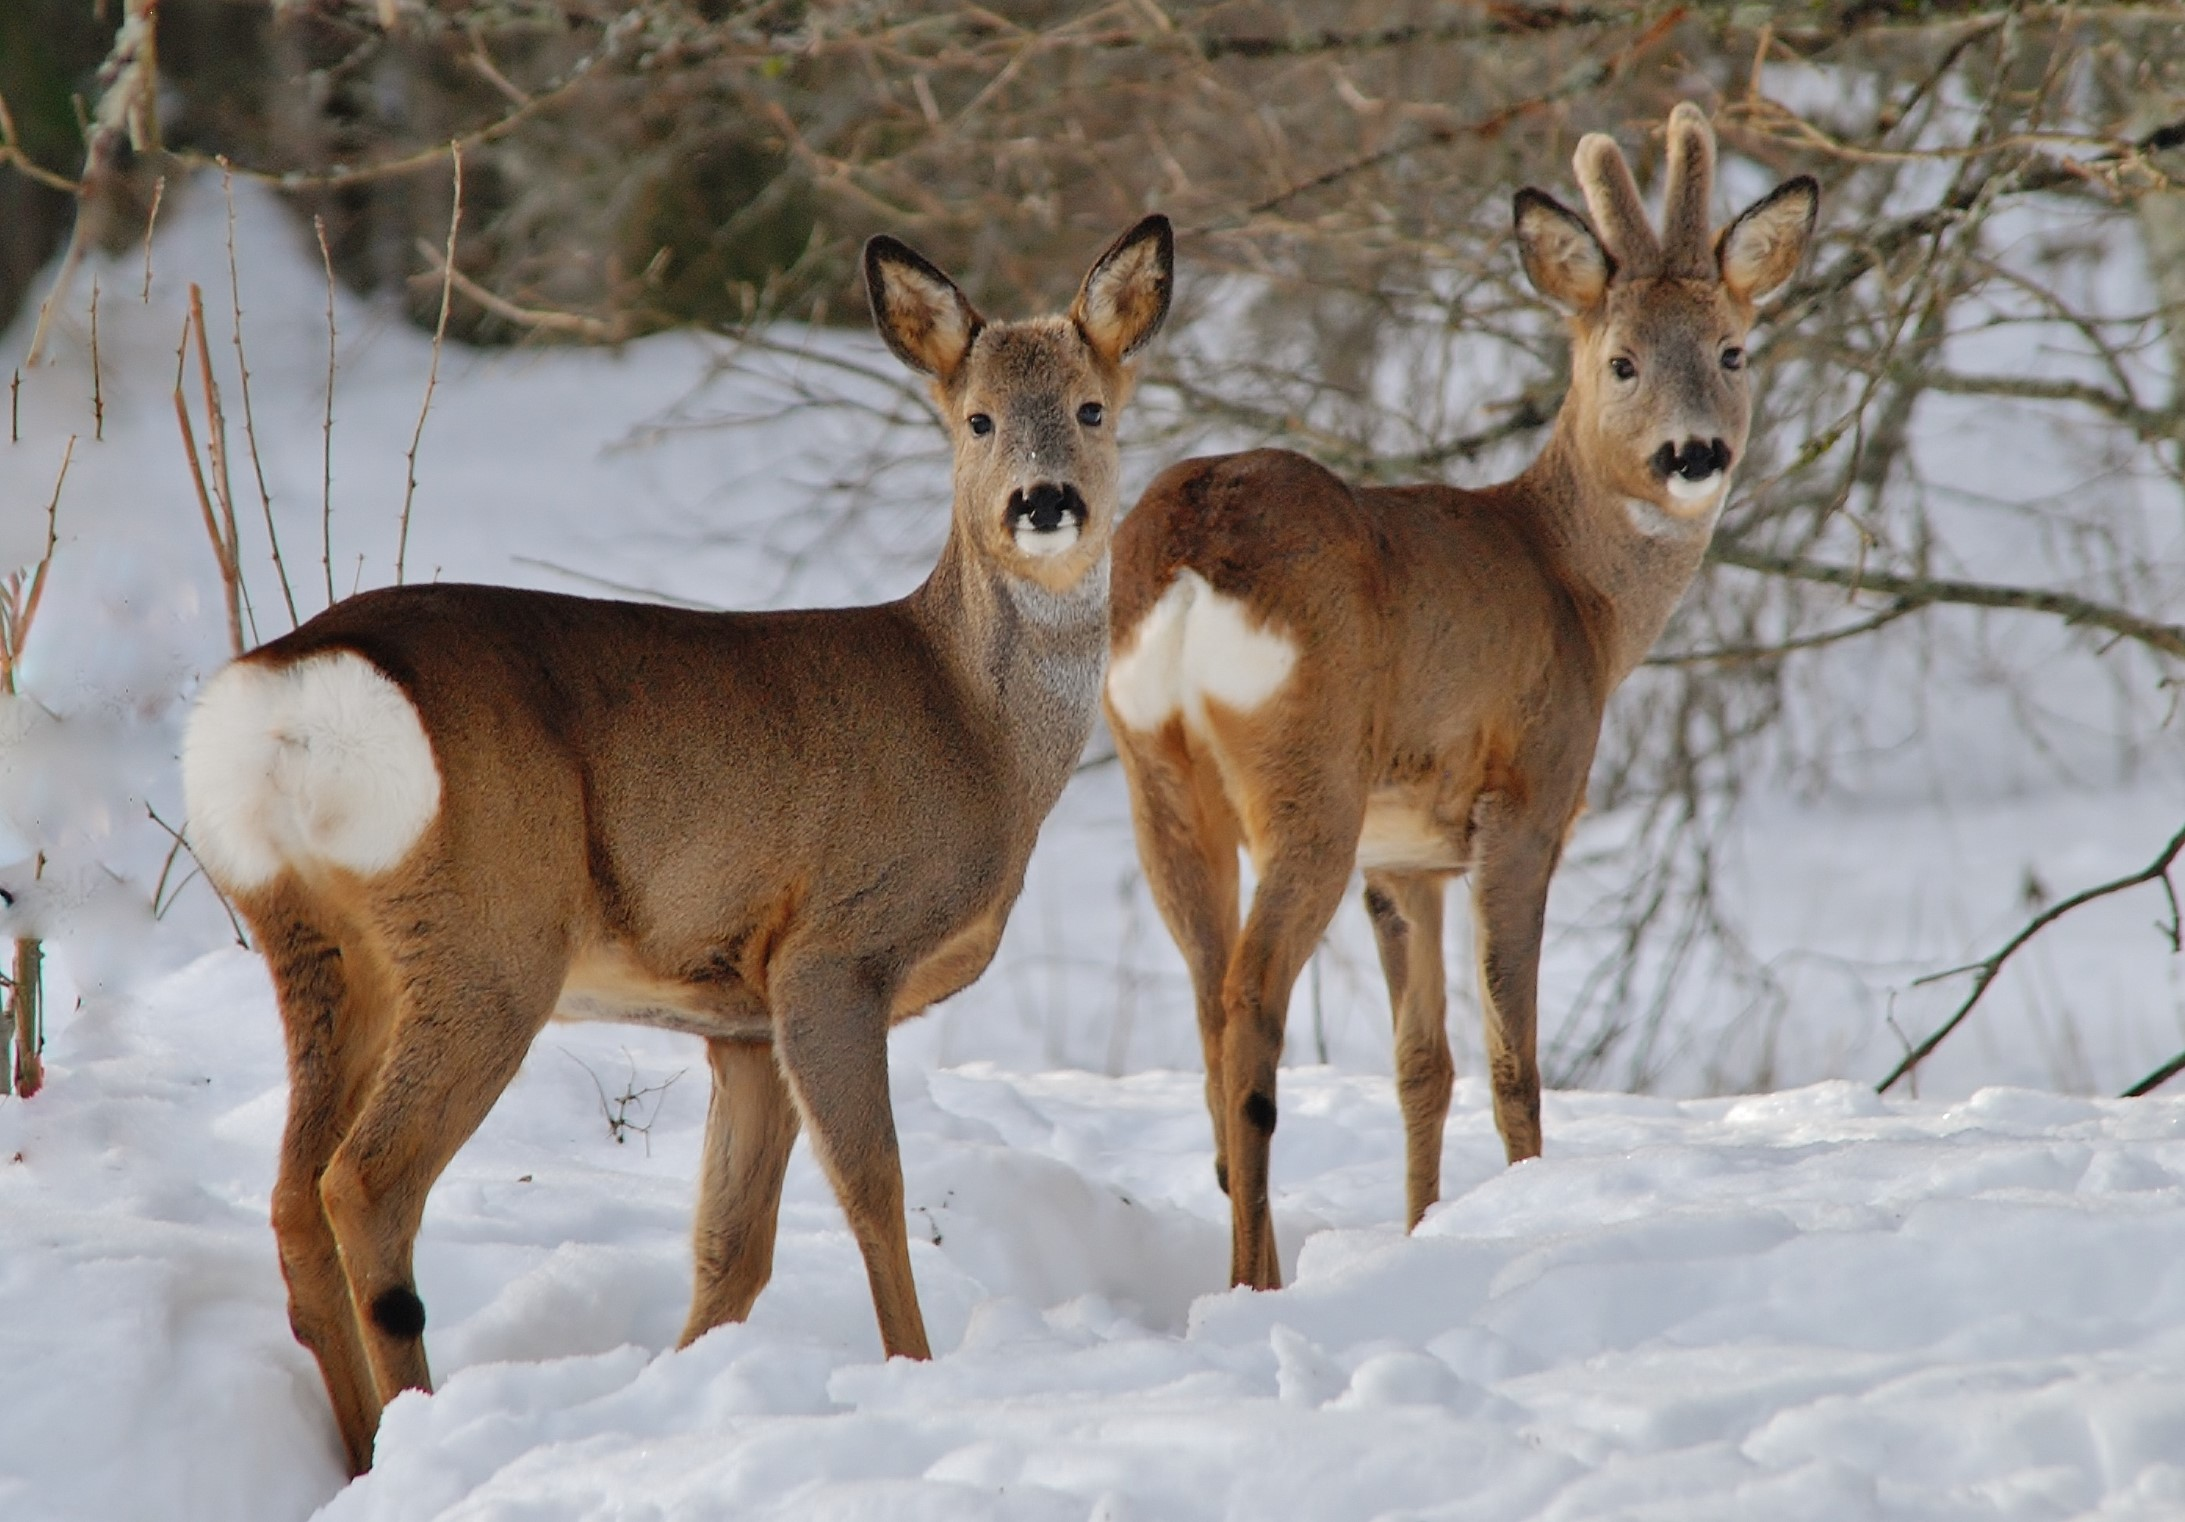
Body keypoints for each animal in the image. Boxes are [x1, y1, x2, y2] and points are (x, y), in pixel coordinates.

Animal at [187, 216, 1179, 1476]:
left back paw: (364, 1455)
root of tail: (287, 689)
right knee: (364, 1179)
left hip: (310, 940)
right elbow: (875, 1187)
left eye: (1093, 408)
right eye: (978, 418)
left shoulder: (738, 1019)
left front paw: (684, 1386)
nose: (1044, 502)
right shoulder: (834, 948)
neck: (975, 729)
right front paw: (914, 1372)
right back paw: (413, 1427)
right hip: (484, 938)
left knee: (289, 1195)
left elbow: (729, 1248)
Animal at [1101, 103, 1817, 1283]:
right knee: (1249, 998)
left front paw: (1420, 1229)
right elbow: (1511, 1057)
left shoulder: (1403, 855)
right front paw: (1524, 1204)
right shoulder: (1524, 802)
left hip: (1155, 775)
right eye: (1620, 361)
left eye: (1732, 349)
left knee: (1206, 997)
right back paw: (1252, 1278)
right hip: (1308, 775)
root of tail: (1191, 552)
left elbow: (1420, 1065)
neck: (1575, 589)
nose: (1694, 452)